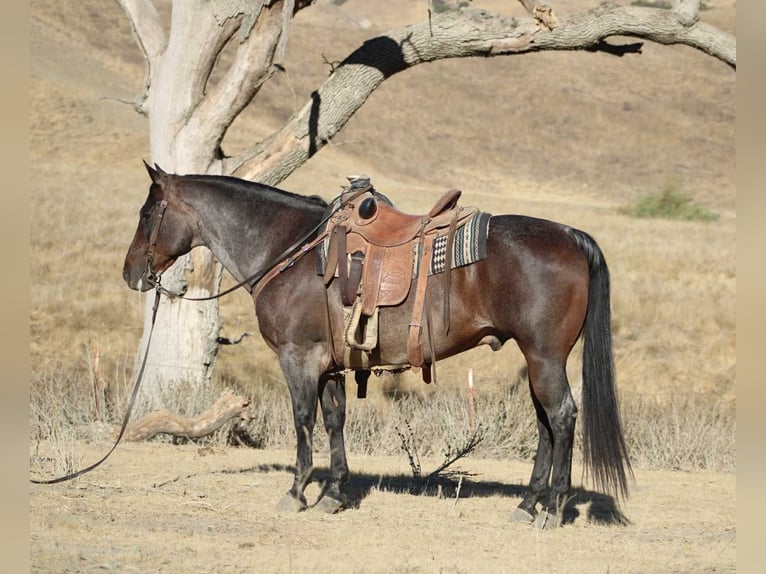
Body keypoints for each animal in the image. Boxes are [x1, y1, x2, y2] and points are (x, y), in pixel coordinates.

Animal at [122, 163, 632, 529]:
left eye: (147, 214)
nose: (130, 274)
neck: (289, 248)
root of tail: (570, 236)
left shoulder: (298, 357)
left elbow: (303, 421)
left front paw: (297, 492)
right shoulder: (328, 364)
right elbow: (334, 421)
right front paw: (333, 494)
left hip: (544, 357)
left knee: (561, 417)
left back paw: (553, 508)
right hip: (538, 358)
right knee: (546, 423)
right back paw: (528, 505)